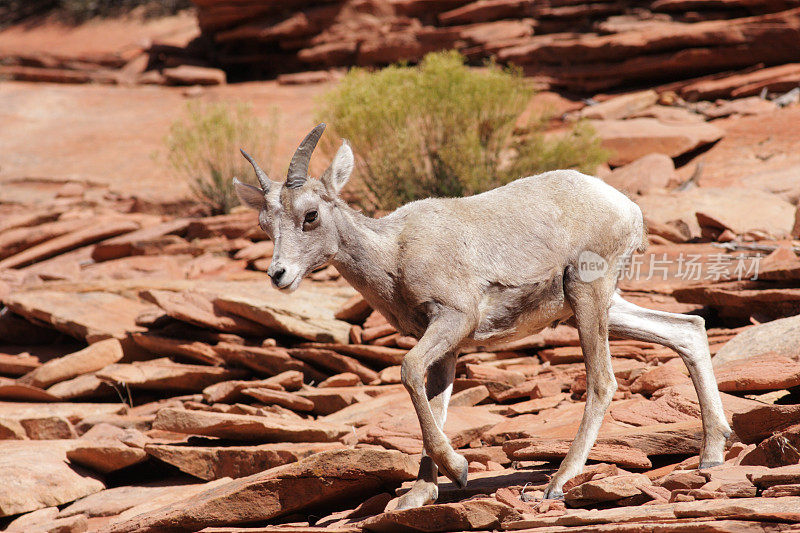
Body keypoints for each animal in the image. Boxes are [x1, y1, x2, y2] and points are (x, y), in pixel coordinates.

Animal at [233, 123, 732, 508]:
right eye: (265, 224)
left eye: (310, 215)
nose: (279, 275)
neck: (394, 251)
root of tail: (625, 207)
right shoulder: (446, 347)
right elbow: (434, 403)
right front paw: (419, 495)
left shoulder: (454, 321)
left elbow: (407, 371)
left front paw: (458, 470)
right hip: (601, 306)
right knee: (688, 330)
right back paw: (712, 453)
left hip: (587, 293)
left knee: (603, 381)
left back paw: (557, 483)